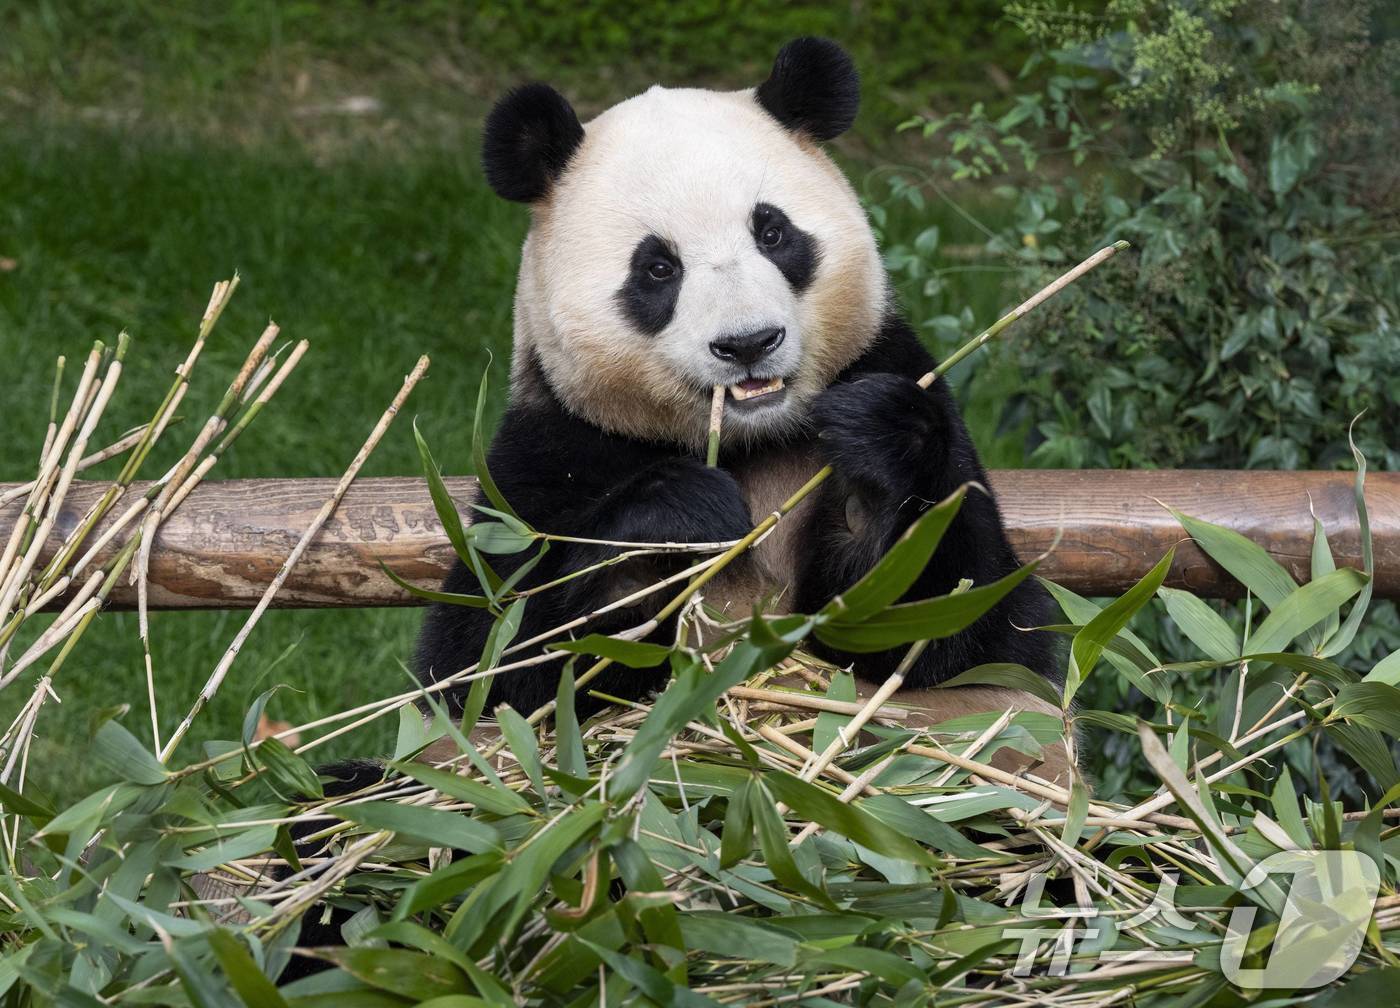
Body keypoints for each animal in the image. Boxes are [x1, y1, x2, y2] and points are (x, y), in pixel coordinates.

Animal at [414, 37, 1058, 778]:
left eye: (772, 233)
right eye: (658, 268)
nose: (749, 343)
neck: (755, 440)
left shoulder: (898, 368)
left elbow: (961, 627)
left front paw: (876, 454)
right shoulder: (551, 450)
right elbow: (490, 666)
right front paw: (680, 515)